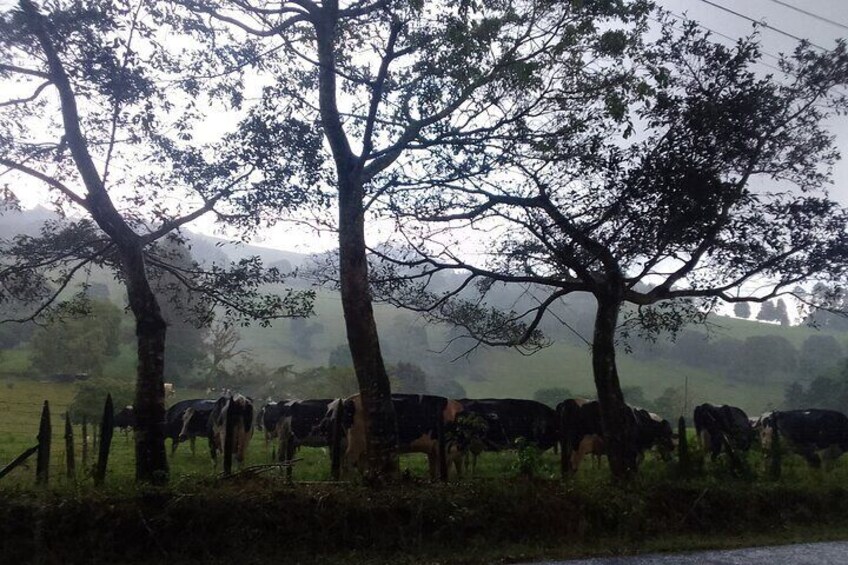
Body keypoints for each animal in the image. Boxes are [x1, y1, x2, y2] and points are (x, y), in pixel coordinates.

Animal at [332, 392, 464, 480]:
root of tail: (349, 400)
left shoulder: (432, 449)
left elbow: (433, 469)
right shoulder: (444, 447)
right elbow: (444, 467)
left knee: (359, 462)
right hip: (357, 440)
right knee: (349, 460)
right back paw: (349, 481)